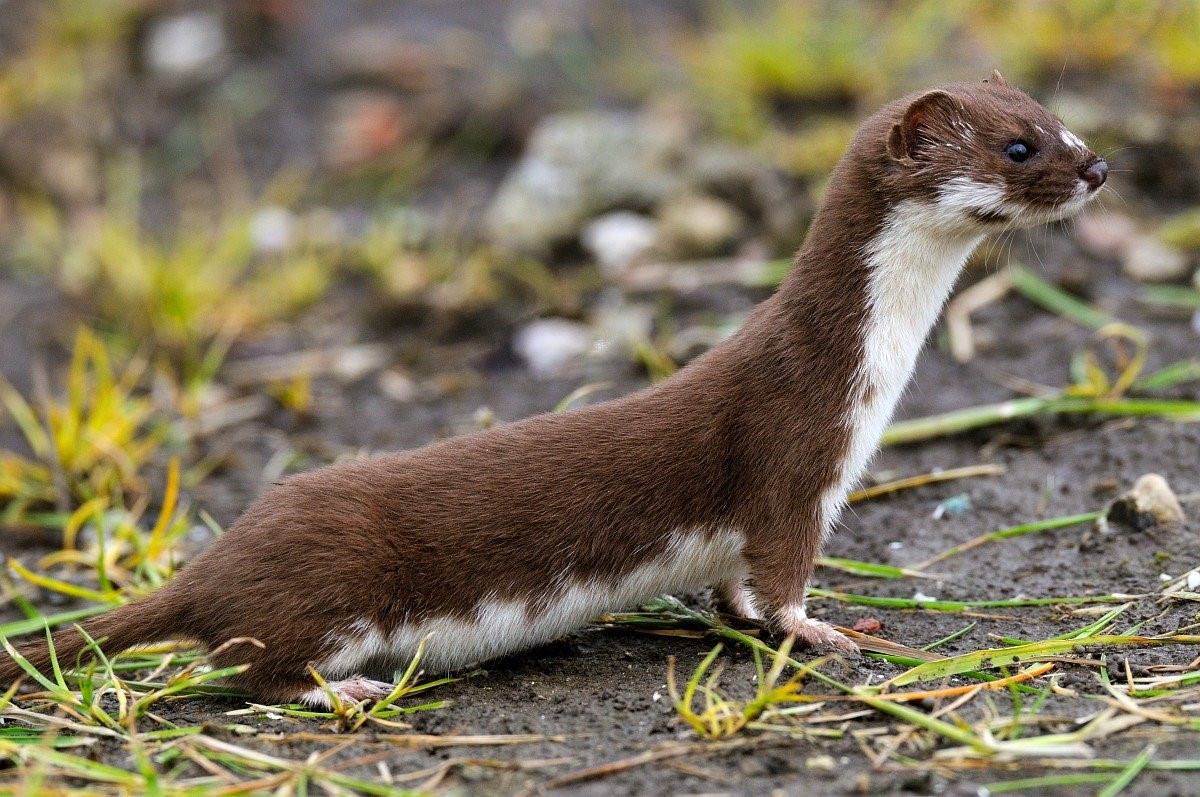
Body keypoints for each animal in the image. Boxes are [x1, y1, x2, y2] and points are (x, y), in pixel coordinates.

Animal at [0, 71, 1104, 705]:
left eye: (1058, 120)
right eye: (1019, 146)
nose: (1098, 166)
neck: (875, 374)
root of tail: (215, 560)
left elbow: (734, 590)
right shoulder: (792, 458)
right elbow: (780, 579)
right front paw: (832, 627)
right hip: (321, 594)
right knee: (246, 665)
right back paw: (341, 693)